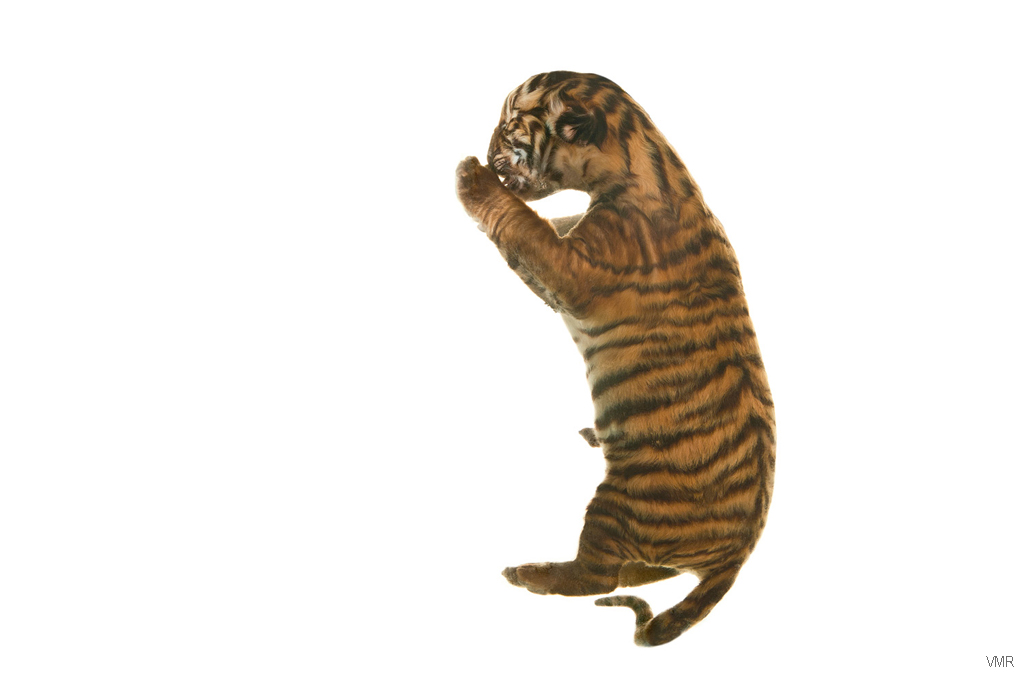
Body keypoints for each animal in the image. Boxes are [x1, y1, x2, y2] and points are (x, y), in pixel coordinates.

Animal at [455, 71, 775, 647]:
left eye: (508, 126)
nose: (487, 153)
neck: (646, 157)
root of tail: (740, 551)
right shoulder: (573, 232)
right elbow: (546, 221)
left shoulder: (575, 273)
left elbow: (524, 229)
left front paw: (471, 178)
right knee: (642, 572)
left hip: (622, 505)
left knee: (595, 576)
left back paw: (529, 574)